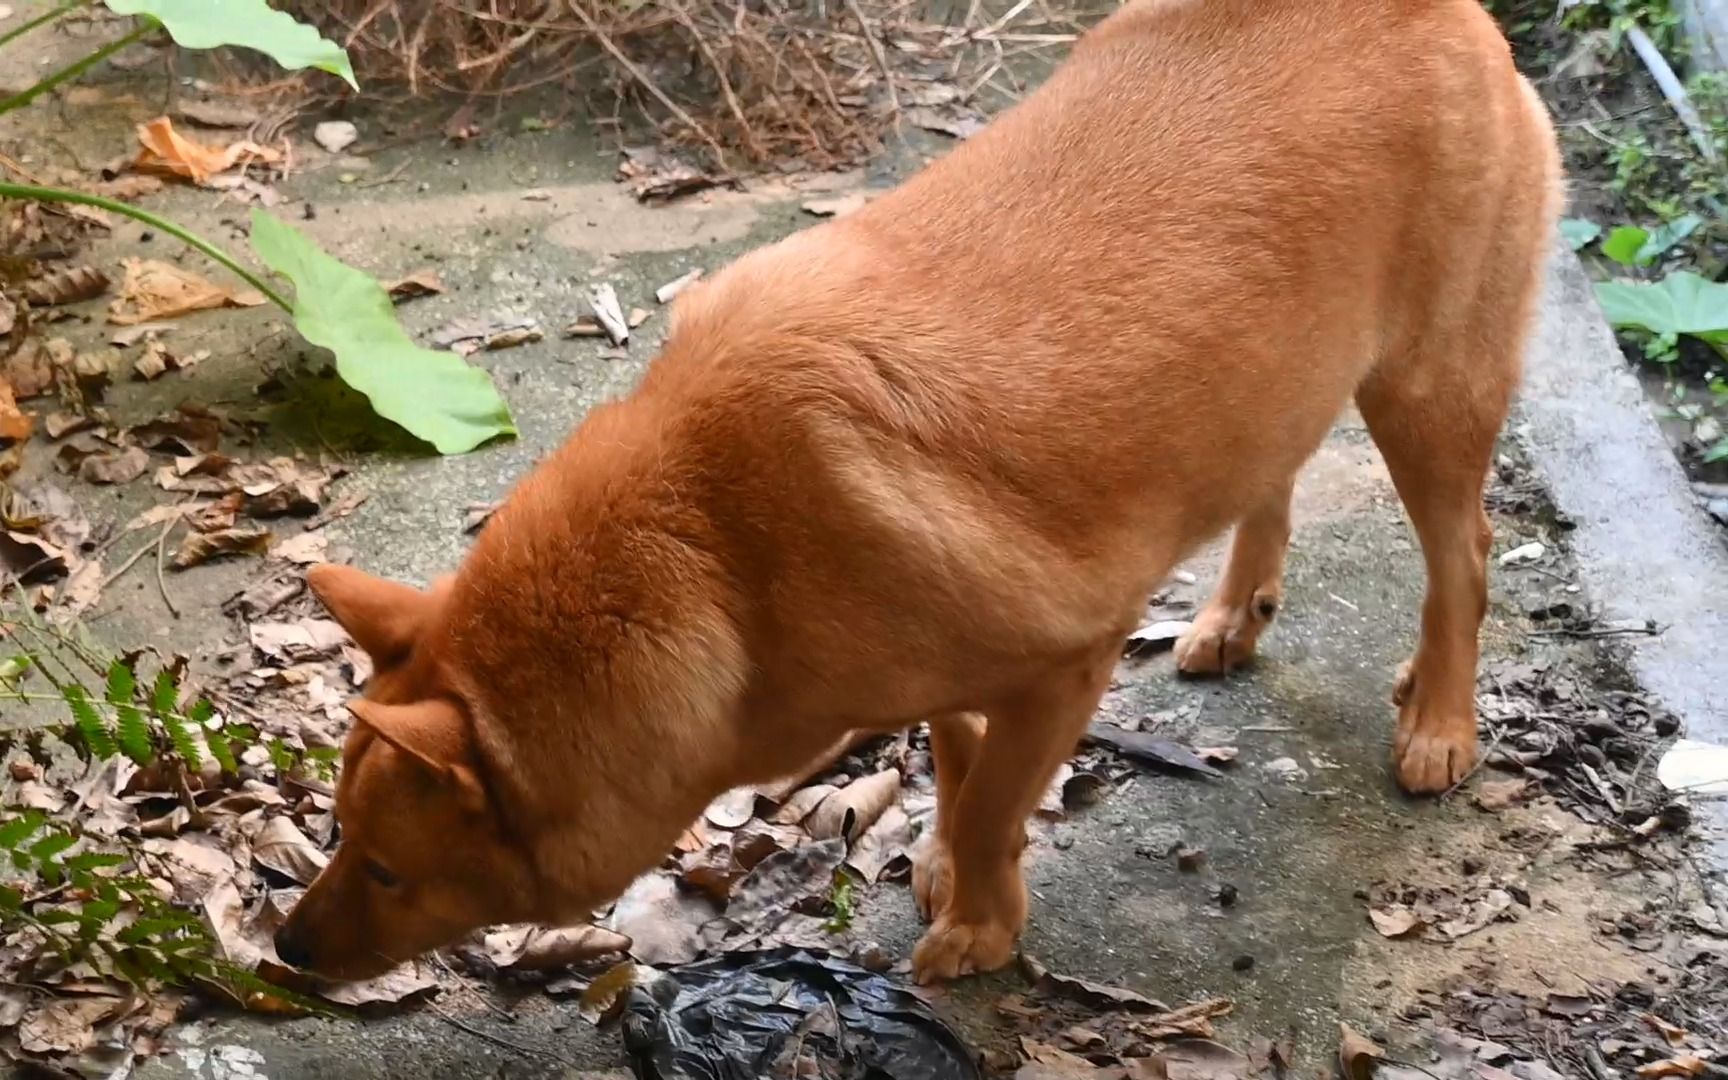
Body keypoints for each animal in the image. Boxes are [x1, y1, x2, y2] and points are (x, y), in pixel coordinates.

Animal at [276, 0, 1562, 988]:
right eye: (335, 836)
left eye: (386, 868)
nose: (284, 950)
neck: (709, 550)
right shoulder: (944, 669)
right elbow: (958, 761)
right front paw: (950, 862)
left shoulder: (1066, 661)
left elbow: (995, 799)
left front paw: (981, 923)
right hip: (1284, 385)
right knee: (1275, 483)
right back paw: (1233, 613)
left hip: (1426, 395)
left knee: (1465, 559)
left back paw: (1441, 719)